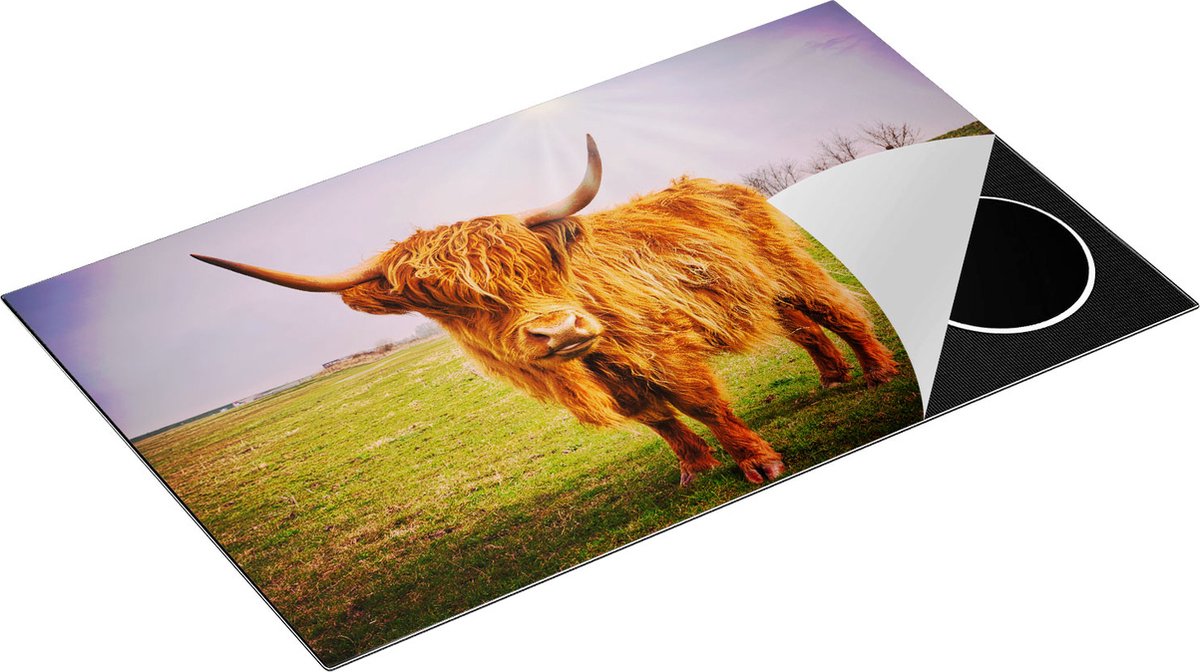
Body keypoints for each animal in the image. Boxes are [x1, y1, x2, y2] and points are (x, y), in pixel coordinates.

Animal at [192, 135, 899, 486]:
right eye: (448, 301)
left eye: (535, 264)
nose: (560, 330)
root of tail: (706, 183)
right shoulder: (617, 380)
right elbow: (654, 416)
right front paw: (693, 470)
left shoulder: (659, 345)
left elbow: (700, 402)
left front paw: (757, 463)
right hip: (759, 289)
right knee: (802, 327)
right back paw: (831, 379)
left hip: (788, 267)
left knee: (834, 311)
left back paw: (877, 372)